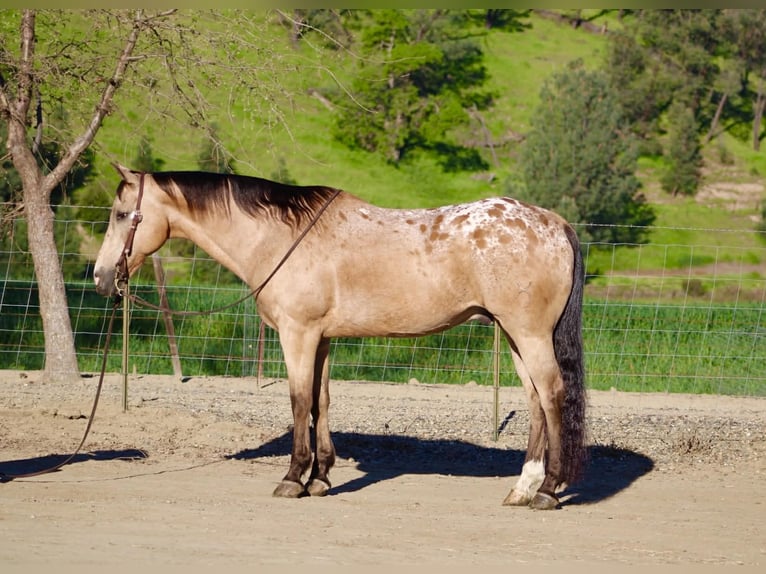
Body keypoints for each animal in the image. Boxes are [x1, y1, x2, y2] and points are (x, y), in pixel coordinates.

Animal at [94, 163, 587, 510]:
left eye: (121, 215)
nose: (101, 278)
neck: (283, 238)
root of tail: (555, 223)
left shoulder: (298, 334)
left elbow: (298, 401)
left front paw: (293, 478)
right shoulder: (323, 338)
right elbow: (321, 402)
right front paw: (320, 478)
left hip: (529, 334)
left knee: (552, 394)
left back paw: (548, 490)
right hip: (515, 336)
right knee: (535, 400)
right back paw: (523, 487)